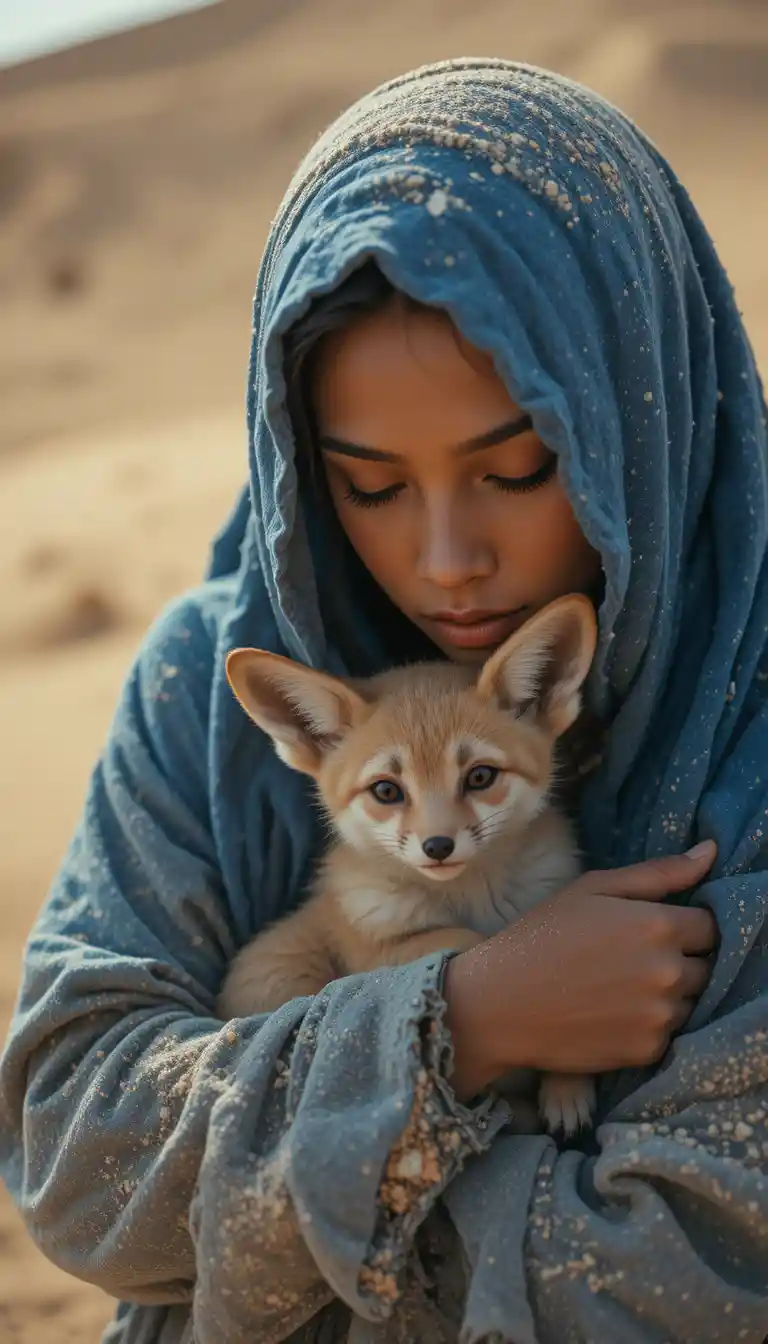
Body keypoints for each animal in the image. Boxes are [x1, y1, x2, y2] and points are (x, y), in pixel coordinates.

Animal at [218, 593, 598, 1136]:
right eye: (386, 791)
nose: (438, 845)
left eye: (480, 777)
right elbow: (469, 940)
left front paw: (569, 1087)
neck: (473, 897)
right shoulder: (372, 952)